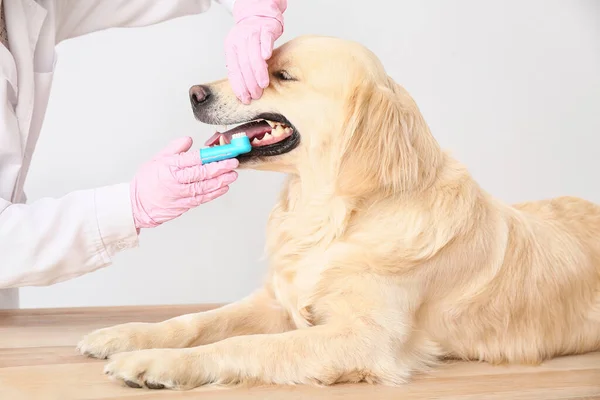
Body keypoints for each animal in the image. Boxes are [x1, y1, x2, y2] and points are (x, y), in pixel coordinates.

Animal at [76, 35, 600, 390]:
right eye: (261, 66)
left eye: (284, 76)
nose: (194, 93)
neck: (331, 217)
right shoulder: (276, 302)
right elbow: (196, 321)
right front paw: (125, 336)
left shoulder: (366, 338)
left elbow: (243, 345)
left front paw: (157, 363)